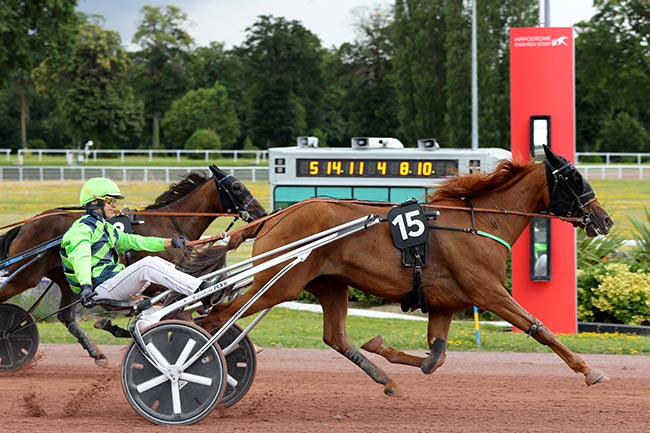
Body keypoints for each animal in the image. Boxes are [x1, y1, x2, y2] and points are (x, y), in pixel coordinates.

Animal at [0, 165, 266, 364]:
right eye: (237, 187)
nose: (261, 214)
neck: (172, 221)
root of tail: (27, 225)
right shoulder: (159, 286)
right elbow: (182, 307)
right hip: (25, 276)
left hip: (66, 279)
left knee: (66, 317)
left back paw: (96, 352)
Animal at [194, 146, 612, 394]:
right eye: (575, 178)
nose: (604, 220)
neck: (480, 222)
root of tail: (275, 217)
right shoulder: (488, 291)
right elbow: (538, 328)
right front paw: (589, 369)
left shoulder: (445, 303)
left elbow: (435, 357)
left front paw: (382, 347)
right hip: (280, 283)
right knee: (216, 317)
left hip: (329, 284)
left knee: (336, 337)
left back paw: (387, 380)